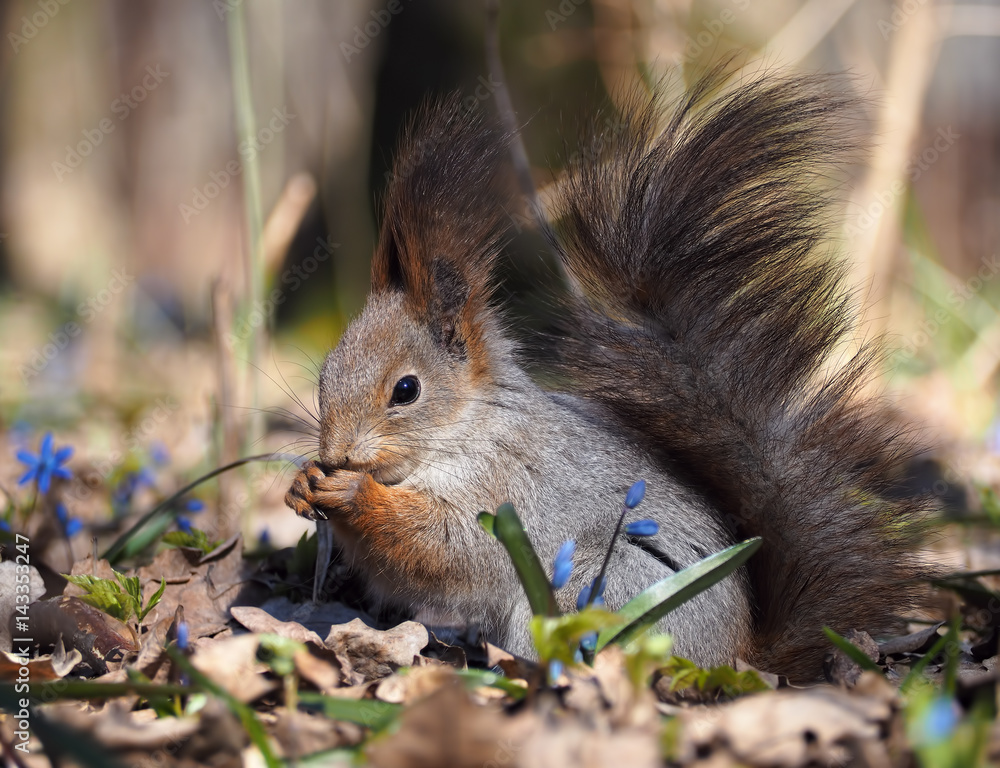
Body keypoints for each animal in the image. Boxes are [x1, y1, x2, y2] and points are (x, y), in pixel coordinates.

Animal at [284, 68, 928, 683]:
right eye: (327, 369)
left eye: (406, 390)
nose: (336, 454)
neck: (467, 429)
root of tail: (740, 657)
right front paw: (303, 483)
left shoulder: (507, 489)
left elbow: (445, 548)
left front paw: (352, 493)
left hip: (601, 584)